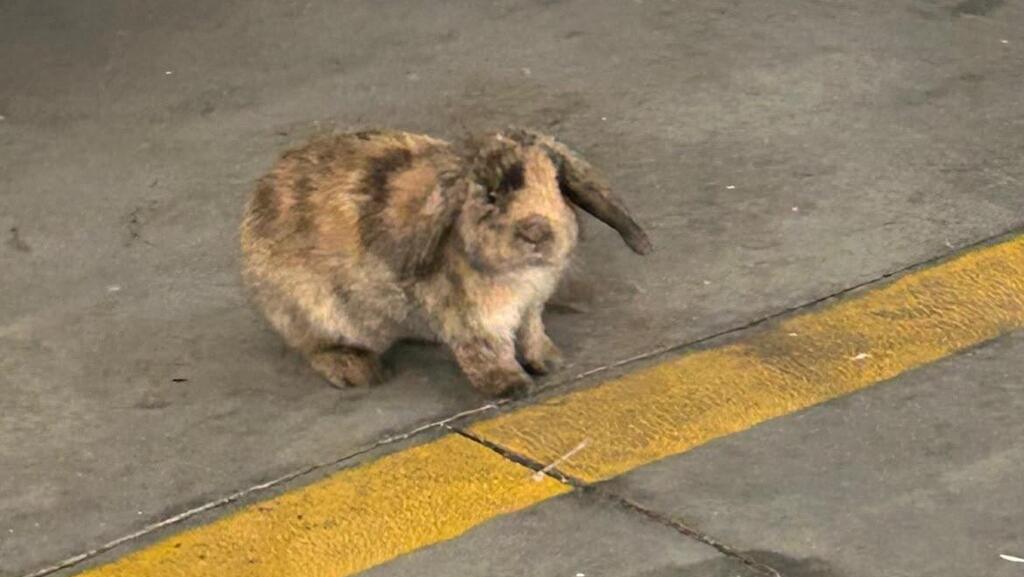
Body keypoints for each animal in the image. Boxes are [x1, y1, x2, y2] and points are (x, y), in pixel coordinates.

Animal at [240, 127, 651, 397]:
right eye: (490, 197)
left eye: (557, 185)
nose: (536, 229)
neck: (518, 276)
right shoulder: (471, 316)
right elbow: (486, 349)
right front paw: (511, 385)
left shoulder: (530, 307)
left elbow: (532, 332)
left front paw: (549, 362)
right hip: (317, 316)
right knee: (316, 348)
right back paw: (360, 371)